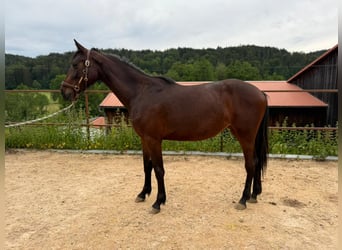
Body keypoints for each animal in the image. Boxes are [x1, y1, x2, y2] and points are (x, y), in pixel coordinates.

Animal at [61, 40, 270, 214]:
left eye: (75, 65)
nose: (65, 91)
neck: (142, 92)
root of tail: (260, 93)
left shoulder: (154, 139)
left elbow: (158, 169)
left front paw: (158, 202)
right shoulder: (144, 139)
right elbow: (147, 166)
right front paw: (143, 194)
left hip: (245, 135)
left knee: (250, 164)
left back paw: (243, 199)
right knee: (256, 161)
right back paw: (254, 195)